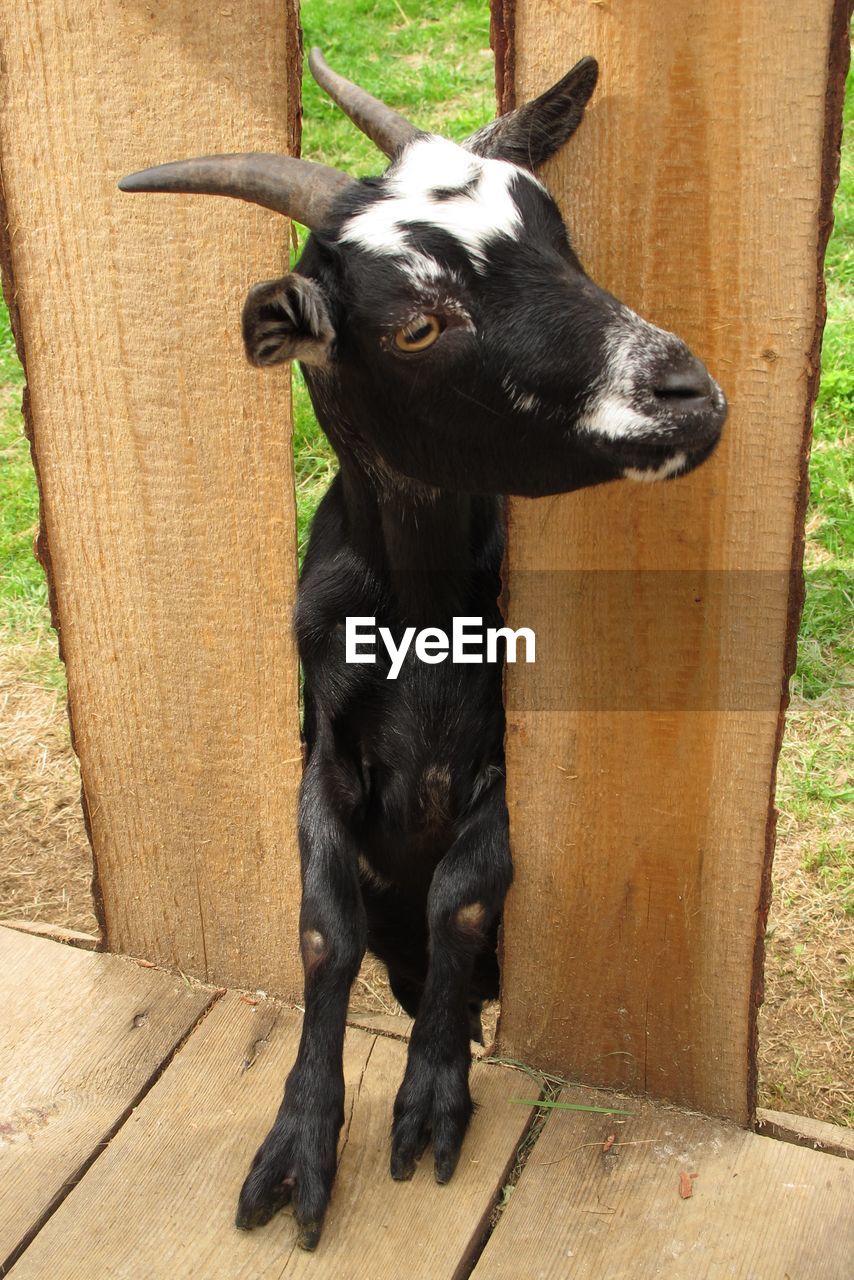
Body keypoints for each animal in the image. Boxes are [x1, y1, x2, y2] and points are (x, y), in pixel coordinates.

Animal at [120, 52, 727, 1249]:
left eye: (555, 232)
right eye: (414, 325)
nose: (687, 395)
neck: (421, 622)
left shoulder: (503, 762)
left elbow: (464, 896)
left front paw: (431, 1099)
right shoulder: (321, 754)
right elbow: (324, 932)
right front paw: (299, 1147)